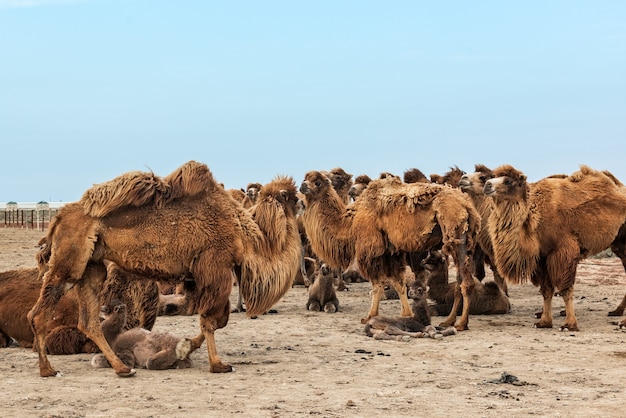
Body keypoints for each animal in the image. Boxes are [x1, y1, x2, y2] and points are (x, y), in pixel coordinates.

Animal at [28, 159, 302, 376]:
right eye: (289, 195)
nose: (301, 201)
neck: (245, 232)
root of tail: (57, 218)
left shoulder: (199, 276)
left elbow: (217, 320)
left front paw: (186, 347)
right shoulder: (215, 268)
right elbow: (211, 321)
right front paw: (217, 364)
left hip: (92, 268)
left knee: (88, 322)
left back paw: (122, 368)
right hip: (69, 264)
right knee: (39, 314)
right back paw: (48, 370)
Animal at [298, 170, 478, 330]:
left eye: (317, 182)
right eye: (305, 178)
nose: (302, 186)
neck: (351, 220)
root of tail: (467, 205)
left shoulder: (371, 249)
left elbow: (377, 284)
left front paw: (370, 316)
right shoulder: (391, 251)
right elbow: (398, 283)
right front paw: (406, 313)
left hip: (454, 232)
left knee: (466, 282)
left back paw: (461, 324)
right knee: (459, 282)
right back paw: (449, 321)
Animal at [480, 165, 624, 332]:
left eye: (508, 181)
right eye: (491, 177)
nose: (487, 185)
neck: (534, 218)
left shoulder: (563, 252)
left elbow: (565, 289)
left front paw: (569, 324)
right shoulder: (542, 258)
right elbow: (546, 290)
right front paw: (544, 322)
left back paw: (622, 321)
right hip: (619, 244)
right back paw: (617, 313)